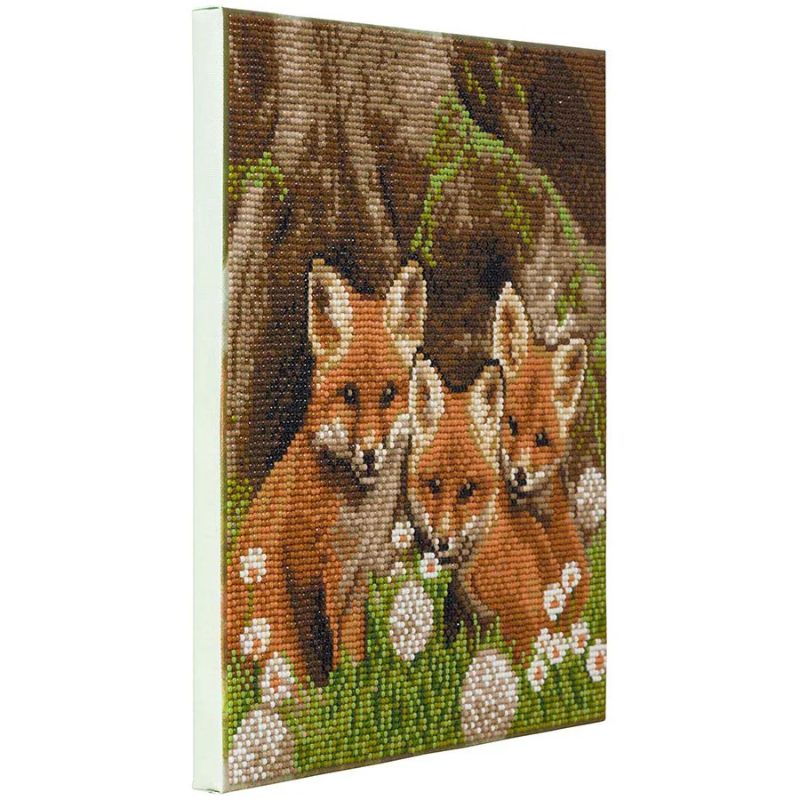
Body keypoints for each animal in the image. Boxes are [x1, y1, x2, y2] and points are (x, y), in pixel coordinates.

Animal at [227, 258, 426, 684]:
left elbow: (353, 653)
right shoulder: (311, 573)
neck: (359, 519)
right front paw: (338, 690)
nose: (369, 453)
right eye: (348, 394)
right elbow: (325, 660)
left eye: (389, 394)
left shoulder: (360, 580)